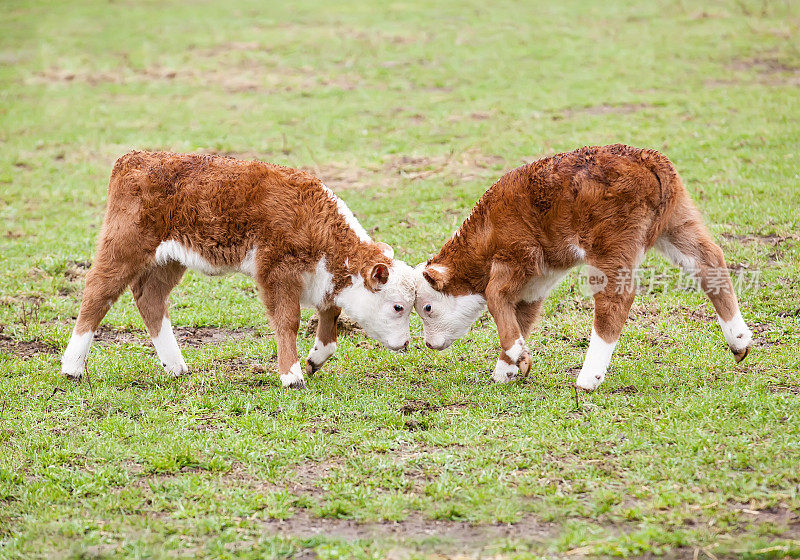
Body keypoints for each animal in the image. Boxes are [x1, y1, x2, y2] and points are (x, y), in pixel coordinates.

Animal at [59, 153, 416, 390]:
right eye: (398, 306)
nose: (406, 344)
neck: (315, 221)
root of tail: (136, 157)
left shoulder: (321, 279)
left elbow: (331, 318)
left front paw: (315, 360)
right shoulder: (276, 273)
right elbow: (288, 321)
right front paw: (292, 375)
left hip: (169, 260)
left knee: (150, 299)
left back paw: (176, 367)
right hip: (124, 248)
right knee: (97, 293)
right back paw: (72, 368)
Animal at [416, 144, 752, 390]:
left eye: (427, 308)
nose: (429, 344)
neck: (485, 232)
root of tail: (646, 160)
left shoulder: (519, 255)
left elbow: (495, 297)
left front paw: (515, 359)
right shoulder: (536, 281)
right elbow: (520, 316)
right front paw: (507, 370)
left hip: (611, 242)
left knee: (615, 298)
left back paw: (588, 378)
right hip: (677, 222)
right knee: (709, 261)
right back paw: (739, 340)